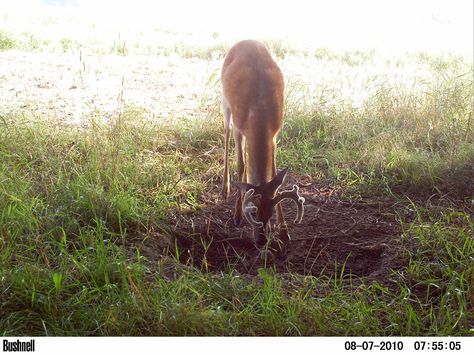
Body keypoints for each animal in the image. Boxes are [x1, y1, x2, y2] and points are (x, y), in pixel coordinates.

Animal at [221, 39, 306, 250]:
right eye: (253, 212)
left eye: (270, 214)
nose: (260, 241)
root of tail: (246, 40)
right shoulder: (240, 127)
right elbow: (241, 165)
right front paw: (237, 215)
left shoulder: (274, 134)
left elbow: (274, 172)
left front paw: (284, 231)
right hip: (225, 101)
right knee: (226, 133)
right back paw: (225, 187)